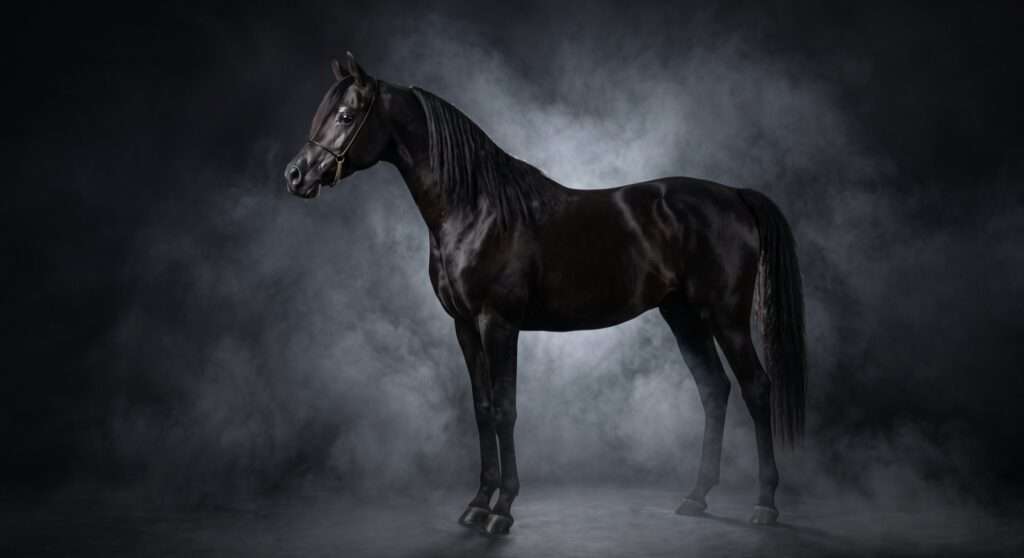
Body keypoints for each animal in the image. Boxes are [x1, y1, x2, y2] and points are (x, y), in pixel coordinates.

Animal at [284, 53, 806, 535]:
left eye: (346, 116)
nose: (295, 175)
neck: (475, 208)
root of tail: (734, 195)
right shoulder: (463, 326)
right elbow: (481, 409)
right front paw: (477, 504)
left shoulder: (499, 324)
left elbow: (505, 410)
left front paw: (502, 510)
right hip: (682, 316)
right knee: (714, 390)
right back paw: (696, 497)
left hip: (725, 317)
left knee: (756, 388)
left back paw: (765, 504)